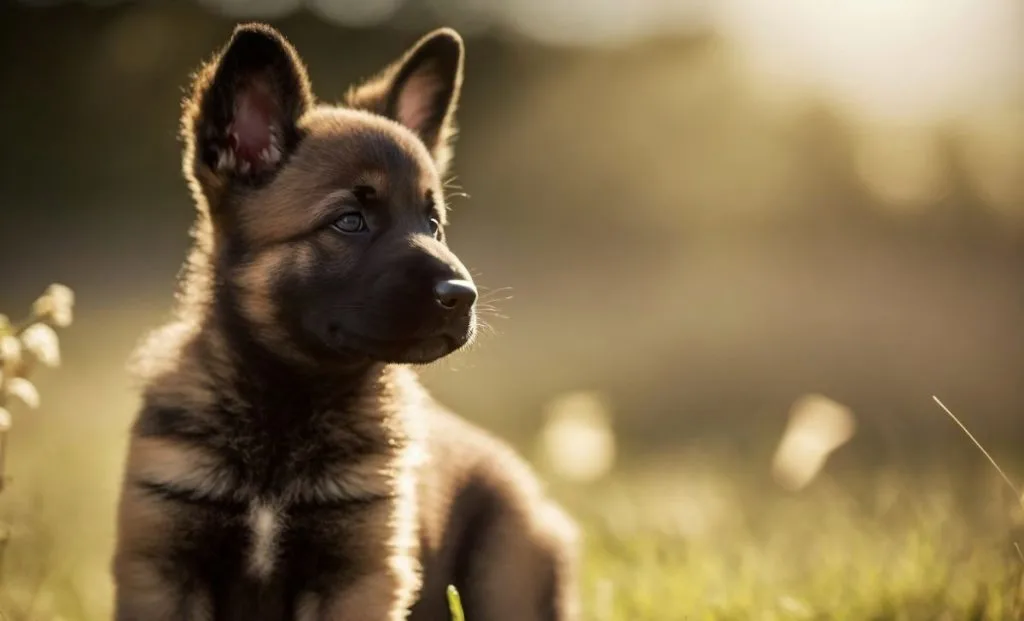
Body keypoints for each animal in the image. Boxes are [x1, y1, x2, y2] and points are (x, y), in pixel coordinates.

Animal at [113, 21, 581, 618]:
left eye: (433, 223)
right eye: (350, 221)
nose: (463, 297)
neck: (290, 402)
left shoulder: (361, 575)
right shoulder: (161, 568)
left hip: (508, 576)